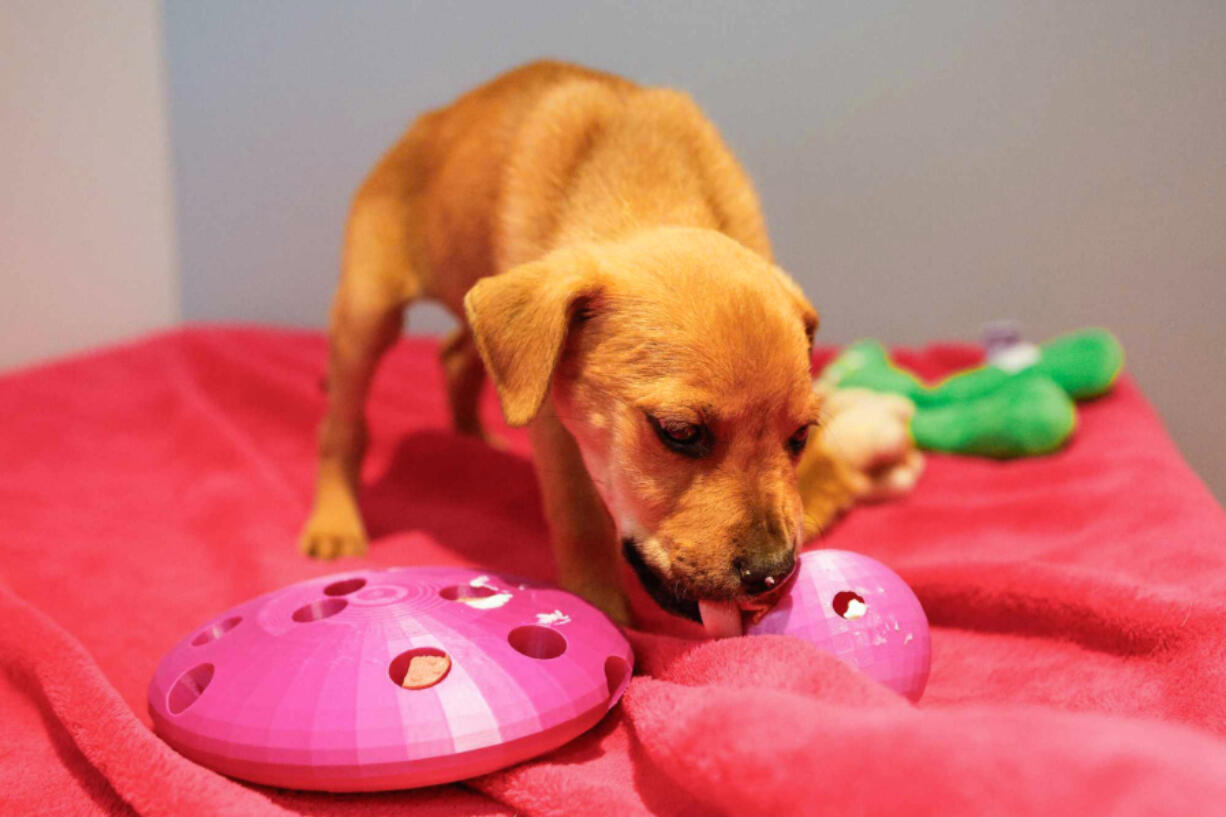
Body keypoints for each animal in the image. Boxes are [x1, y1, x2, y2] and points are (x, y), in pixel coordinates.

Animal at [299, 58, 921, 628]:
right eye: (680, 433)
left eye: (801, 437)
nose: (773, 575)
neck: (648, 187)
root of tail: (428, 122)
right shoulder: (554, 423)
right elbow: (579, 516)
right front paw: (601, 608)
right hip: (367, 312)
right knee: (342, 427)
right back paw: (335, 522)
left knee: (457, 355)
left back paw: (474, 441)